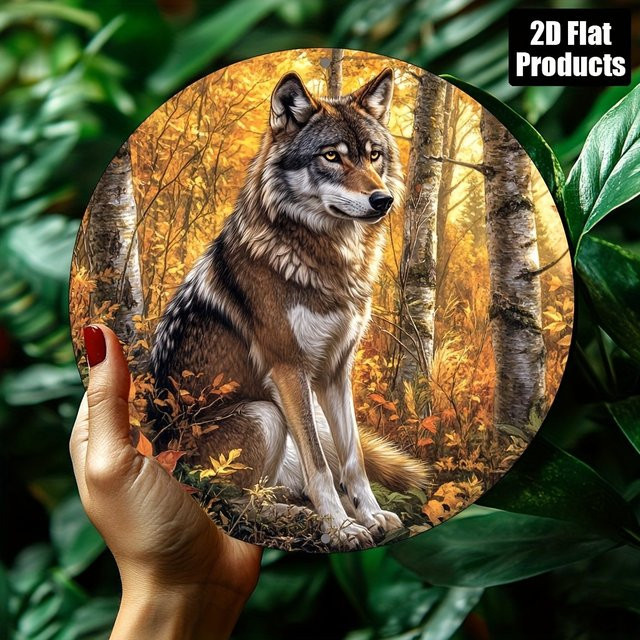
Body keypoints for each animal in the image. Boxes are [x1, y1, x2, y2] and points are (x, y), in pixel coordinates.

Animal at [149, 68, 429, 549]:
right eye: (332, 156)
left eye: (374, 156)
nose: (383, 201)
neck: (327, 261)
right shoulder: (289, 369)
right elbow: (321, 468)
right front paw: (341, 528)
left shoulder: (336, 371)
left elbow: (352, 458)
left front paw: (371, 516)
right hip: (265, 414)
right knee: (229, 498)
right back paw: (298, 516)